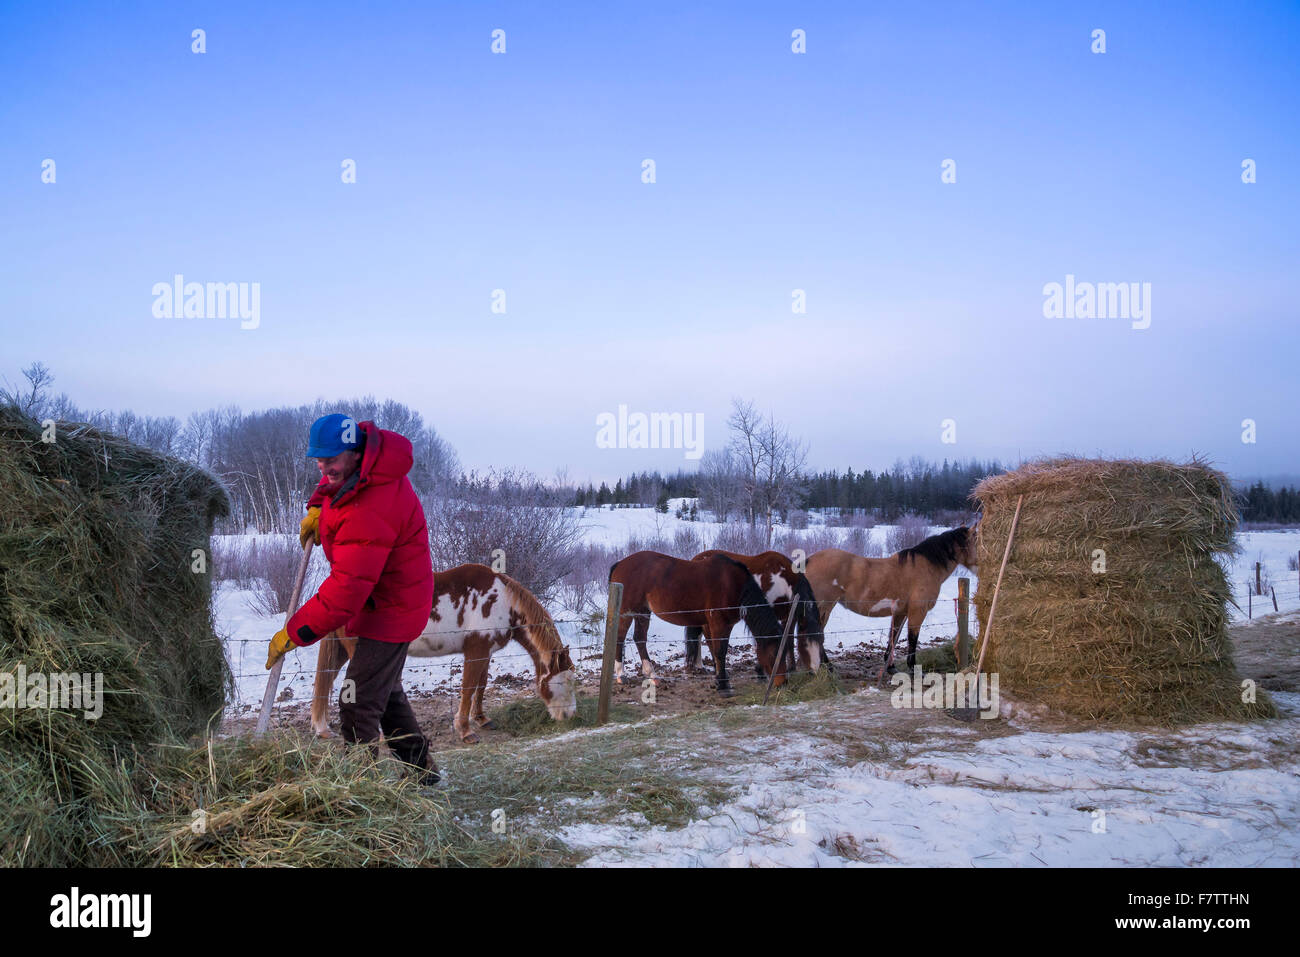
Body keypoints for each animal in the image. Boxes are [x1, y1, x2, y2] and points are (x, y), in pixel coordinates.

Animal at [306, 564, 577, 743]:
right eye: (564, 680)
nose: (570, 715)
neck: (502, 601)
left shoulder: (485, 652)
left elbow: (481, 686)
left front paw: (482, 719)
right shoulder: (475, 651)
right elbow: (468, 688)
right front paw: (465, 731)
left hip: (341, 650)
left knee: (326, 682)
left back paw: (321, 728)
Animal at [605, 548, 785, 696]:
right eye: (774, 653)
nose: (782, 683)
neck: (734, 584)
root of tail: (621, 564)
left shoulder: (718, 624)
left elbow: (715, 651)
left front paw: (720, 680)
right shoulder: (719, 623)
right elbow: (720, 652)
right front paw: (723, 686)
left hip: (643, 612)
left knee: (639, 638)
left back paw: (652, 675)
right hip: (627, 612)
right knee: (620, 638)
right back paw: (622, 675)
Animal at [686, 548, 826, 676]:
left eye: (822, 640)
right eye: (806, 643)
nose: (815, 670)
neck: (782, 580)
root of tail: (695, 559)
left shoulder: (788, 615)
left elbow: (789, 640)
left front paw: (791, 668)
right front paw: (761, 671)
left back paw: (701, 665)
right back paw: (713, 667)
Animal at [800, 527, 977, 676]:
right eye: (977, 540)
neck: (925, 567)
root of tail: (808, 560)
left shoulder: (900, 612)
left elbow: (893, 637)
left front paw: (891, 667)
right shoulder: (917, 612)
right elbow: (912, 639)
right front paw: (913, 669)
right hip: (824, 607)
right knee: (816, 633)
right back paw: (827, 667)